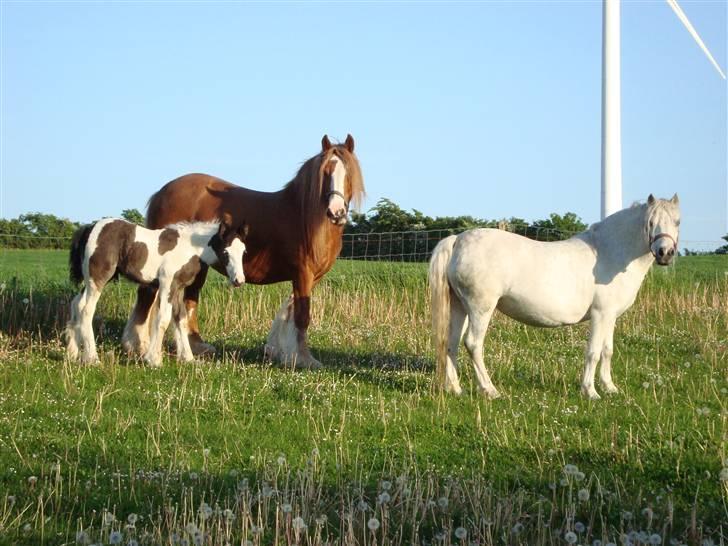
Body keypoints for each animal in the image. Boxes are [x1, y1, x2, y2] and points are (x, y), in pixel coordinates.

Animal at [68, 215, 250, 364]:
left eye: (243, 251)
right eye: (225, 251)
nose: (239, 280)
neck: (189, 248)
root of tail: (89, 228)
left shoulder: (178, 288)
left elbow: (181, 319)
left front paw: (188, 358)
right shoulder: (167, 284)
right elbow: (163, 319)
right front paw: (154, 359)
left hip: (90, 280)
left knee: (76, 303)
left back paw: (73, 352)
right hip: (98, 278)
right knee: (86, 309)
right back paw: (92, 358)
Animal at [123, 134, 370, 368]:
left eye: (348, 173)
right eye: (326, 173)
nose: (336, 212)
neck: (305, 217)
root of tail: (162, 192)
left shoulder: (311, 278)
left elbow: (291, 311)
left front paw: (284, 353)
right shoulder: (302, 275)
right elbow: (301, 316)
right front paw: (304, 359)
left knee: (189, 300)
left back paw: (197, 347)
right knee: (148, 295)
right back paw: (138, 345)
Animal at [430, 193, 680, 398]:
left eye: (677, 221)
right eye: (650, 222)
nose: (665, 253)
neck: (609, 252)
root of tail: (458, 240)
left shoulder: (610, 316)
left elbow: (607, 351)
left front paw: (610, 388)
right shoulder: (600, 315)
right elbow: (593, 352)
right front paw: (590, 392)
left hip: (460, 307)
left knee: (451, 343)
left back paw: (456, 389)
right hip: (480, 308)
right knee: (473, 344)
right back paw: (490, 390)